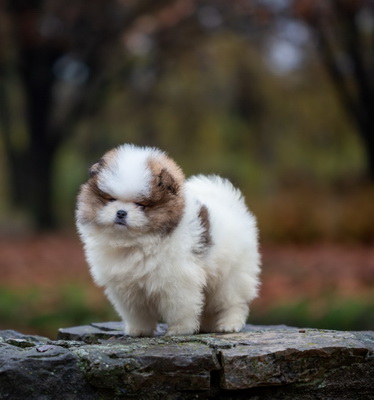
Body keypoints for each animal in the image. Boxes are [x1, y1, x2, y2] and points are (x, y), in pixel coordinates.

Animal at [76, 145, 260, 336]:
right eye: (111, 199)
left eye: (141, 205)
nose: (121, 212)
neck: (136, 243)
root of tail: (232, 204)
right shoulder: (128, 288)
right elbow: (137, 313)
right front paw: (138, 330)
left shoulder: (177, 282)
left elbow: (180, 308)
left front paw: (179, 330)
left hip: (232, 274)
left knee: (233, 301)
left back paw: (229, 325)